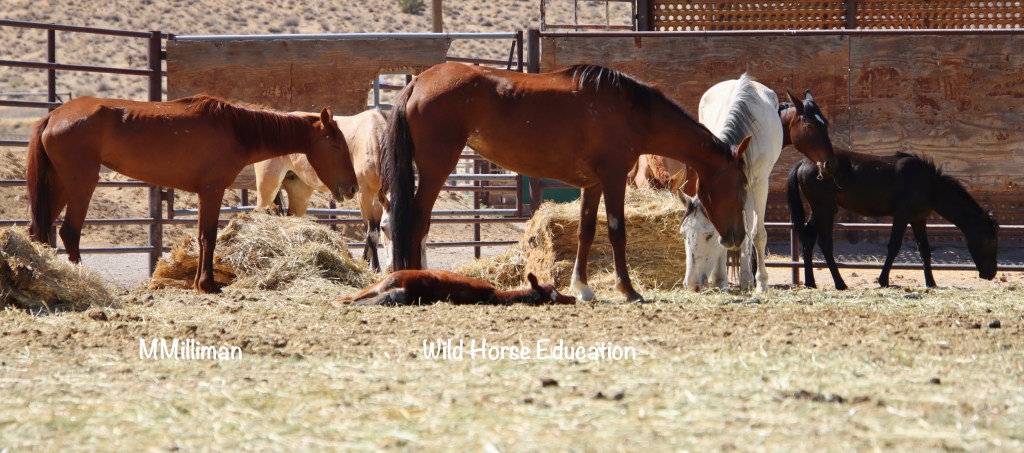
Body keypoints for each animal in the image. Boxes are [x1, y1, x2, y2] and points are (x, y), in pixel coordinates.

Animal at [26, 94, 359, 293]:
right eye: (335, 145)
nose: (352, 187)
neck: (235, 128)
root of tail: (54, 116)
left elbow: (202, 237)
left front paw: (202, 283)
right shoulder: (211, 191)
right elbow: (208, 237)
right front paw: (208, 284)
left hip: (58, 184)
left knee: (39, 229)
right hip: (80, 183)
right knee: (70, 232)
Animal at [254, 109, 390, 271]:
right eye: (386, 228)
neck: (374, 139)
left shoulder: (377, 197)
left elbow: (372, 230)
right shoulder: (364, 194)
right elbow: (372, 234)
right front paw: (374, 268)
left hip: (298, 191)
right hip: (268, 187)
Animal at [381, 62, 751, 302]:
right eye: (742, 183)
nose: (736, 237)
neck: (630, 111)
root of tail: (418, 82)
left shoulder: (593, 184)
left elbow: (585, 232)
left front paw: (583, 287)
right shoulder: (614, 178)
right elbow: (617, 231)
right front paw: (629, 290)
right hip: (436, 168)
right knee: (416, 222)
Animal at [676, 74, 784, 293]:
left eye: (708, 235)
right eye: (683, 234)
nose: (691, 284)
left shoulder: (759, 185)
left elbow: (758, 234)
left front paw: (761, 283)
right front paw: (720, 279)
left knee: (750, 229)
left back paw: (748, 279)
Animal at [788, 151, 998, 289]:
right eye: (989, 240)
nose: (991, 274)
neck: (929, 185)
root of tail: (803, 163)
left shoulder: (918, 219)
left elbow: (924, 249)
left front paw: (931, 282)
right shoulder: (902, 215)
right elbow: (894, 246)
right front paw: (883, 280)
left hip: (819, 209)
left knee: (808, 238)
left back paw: (810, 283)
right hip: (825, 209)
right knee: (825, 243)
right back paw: (840, 284)